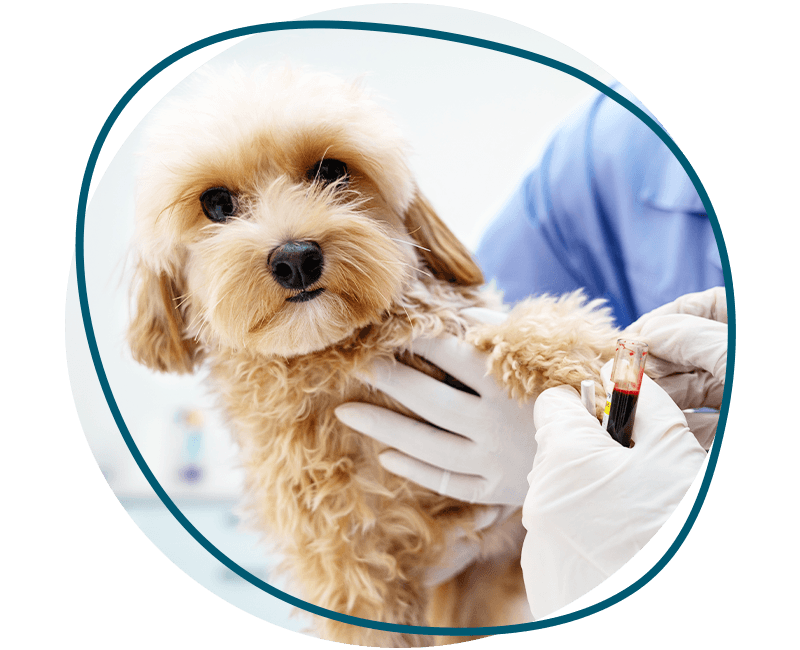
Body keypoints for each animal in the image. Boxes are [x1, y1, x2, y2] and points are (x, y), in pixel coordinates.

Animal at [128, 66, 620, 644]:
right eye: (217, 204)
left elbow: (517, 327)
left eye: (331, 171)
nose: (295, 258)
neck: (338, 360)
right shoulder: (349, 573)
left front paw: (584, 357)